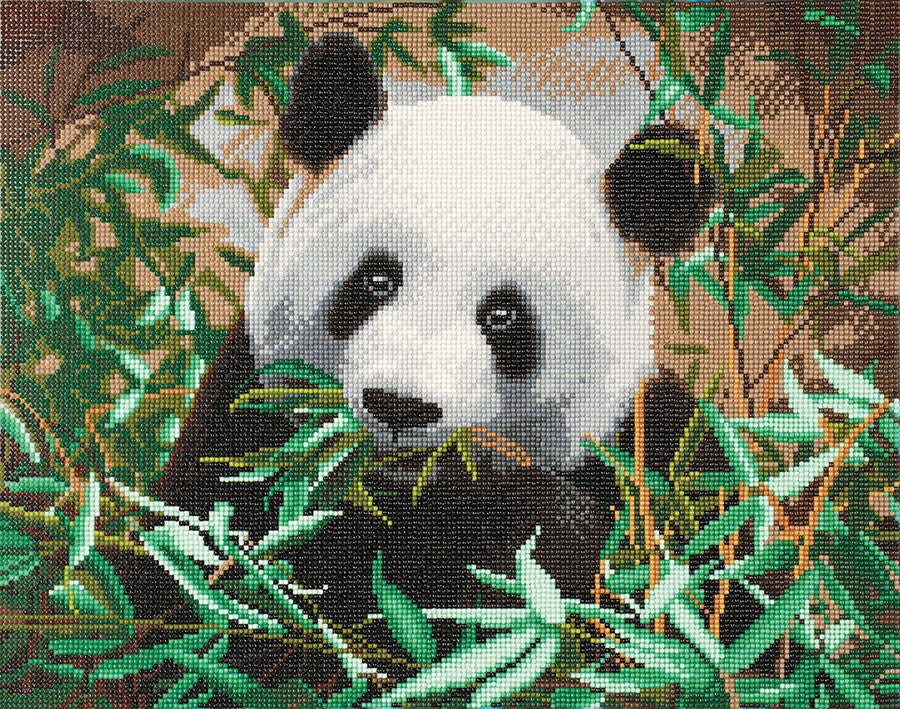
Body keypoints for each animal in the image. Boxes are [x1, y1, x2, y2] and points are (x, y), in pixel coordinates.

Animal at [159, 34, 723, 680]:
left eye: (502, 315)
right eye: (377, 279)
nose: (400, 407)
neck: (414, 488)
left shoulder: (654, 449)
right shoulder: (247, 432)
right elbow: (206, 603)